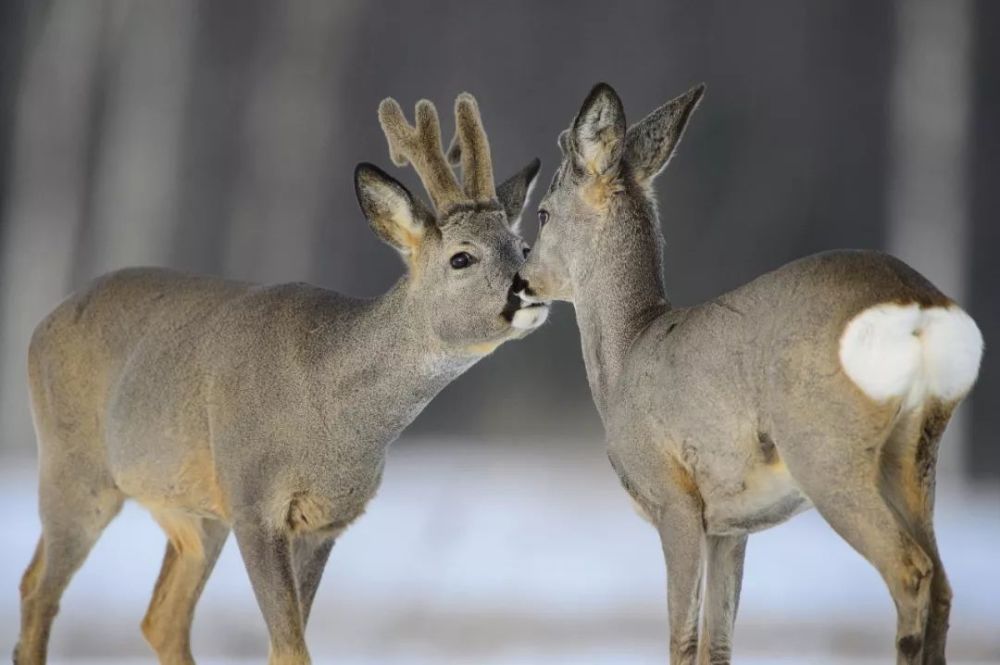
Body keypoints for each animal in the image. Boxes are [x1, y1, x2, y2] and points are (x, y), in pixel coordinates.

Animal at [13, 94, 548, 664]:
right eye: (461, 257)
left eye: (523, 247)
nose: (529, 290)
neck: (329, 403)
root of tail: (42, 324)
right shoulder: (253, 501)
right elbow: (291, 646)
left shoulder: (326, 521)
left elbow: (285, 645)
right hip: (76, 469)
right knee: (41, 592)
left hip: (191, 511)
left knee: (158, 616)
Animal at [520, 84, 980, 664]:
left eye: (542, 214)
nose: (520, 281)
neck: (629, 352)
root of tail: (920, 306)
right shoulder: (730, 524)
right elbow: (717, 644)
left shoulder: (675, 499)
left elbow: (682, 639)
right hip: (915, 454)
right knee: (942, 582)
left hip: (826, 451)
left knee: (912, 570)